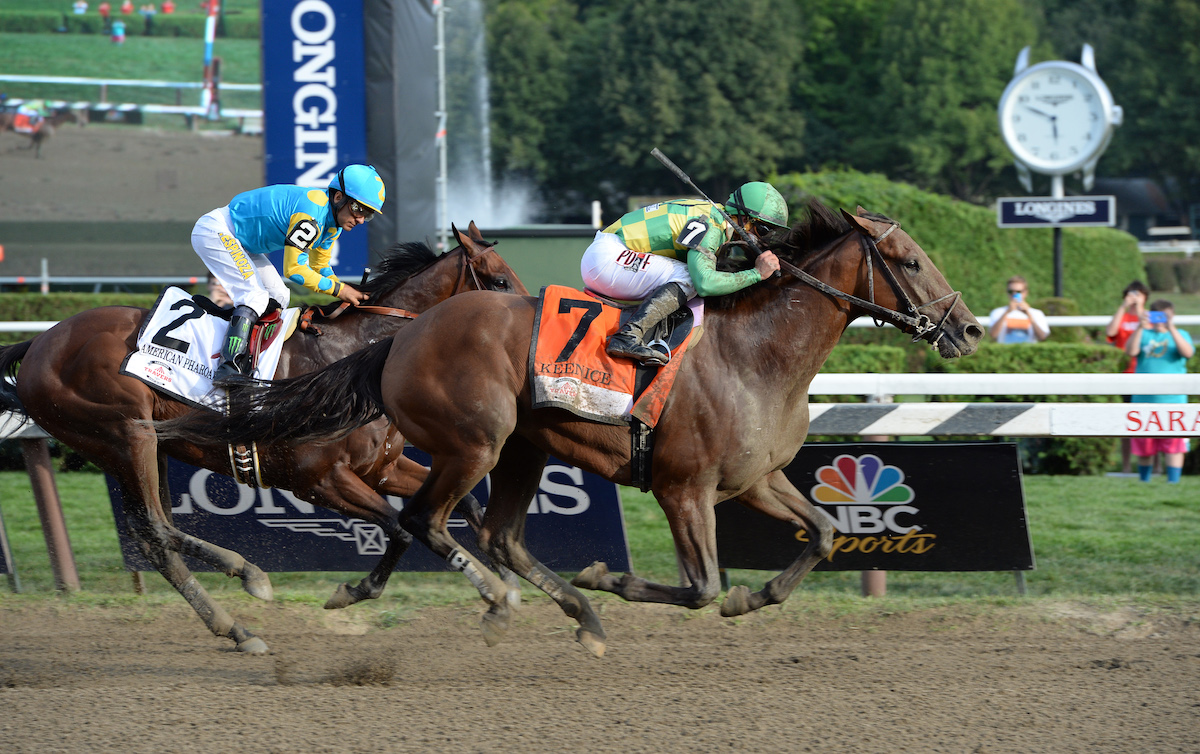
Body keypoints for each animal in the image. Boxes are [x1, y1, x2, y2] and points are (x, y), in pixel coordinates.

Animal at [0, 223, 525, 653]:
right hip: (127, 435)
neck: (353, 358)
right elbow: (397, 528)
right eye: (499, 282)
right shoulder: (318, 479)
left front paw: (509, 580)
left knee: (153, 540)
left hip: (140, 448)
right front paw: (352, 591)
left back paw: (235, 630)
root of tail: (41, 341)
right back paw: (249, 574)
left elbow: (461, 505)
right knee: (156, 526)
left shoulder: (383, 467)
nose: (524, 323)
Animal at [157, 200, 984, 653]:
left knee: (494, 535)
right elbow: (701, 587)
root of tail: (404, 333)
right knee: (426, 520)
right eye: (912, 261)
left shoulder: (754, 479)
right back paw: (515, 600)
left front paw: (752, 598)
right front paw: (607, 575)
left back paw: (567, 613)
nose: (971, 329)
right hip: (476, 443)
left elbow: (823, 534)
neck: (757, 353)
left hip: (520, 449)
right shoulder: (684, 489)